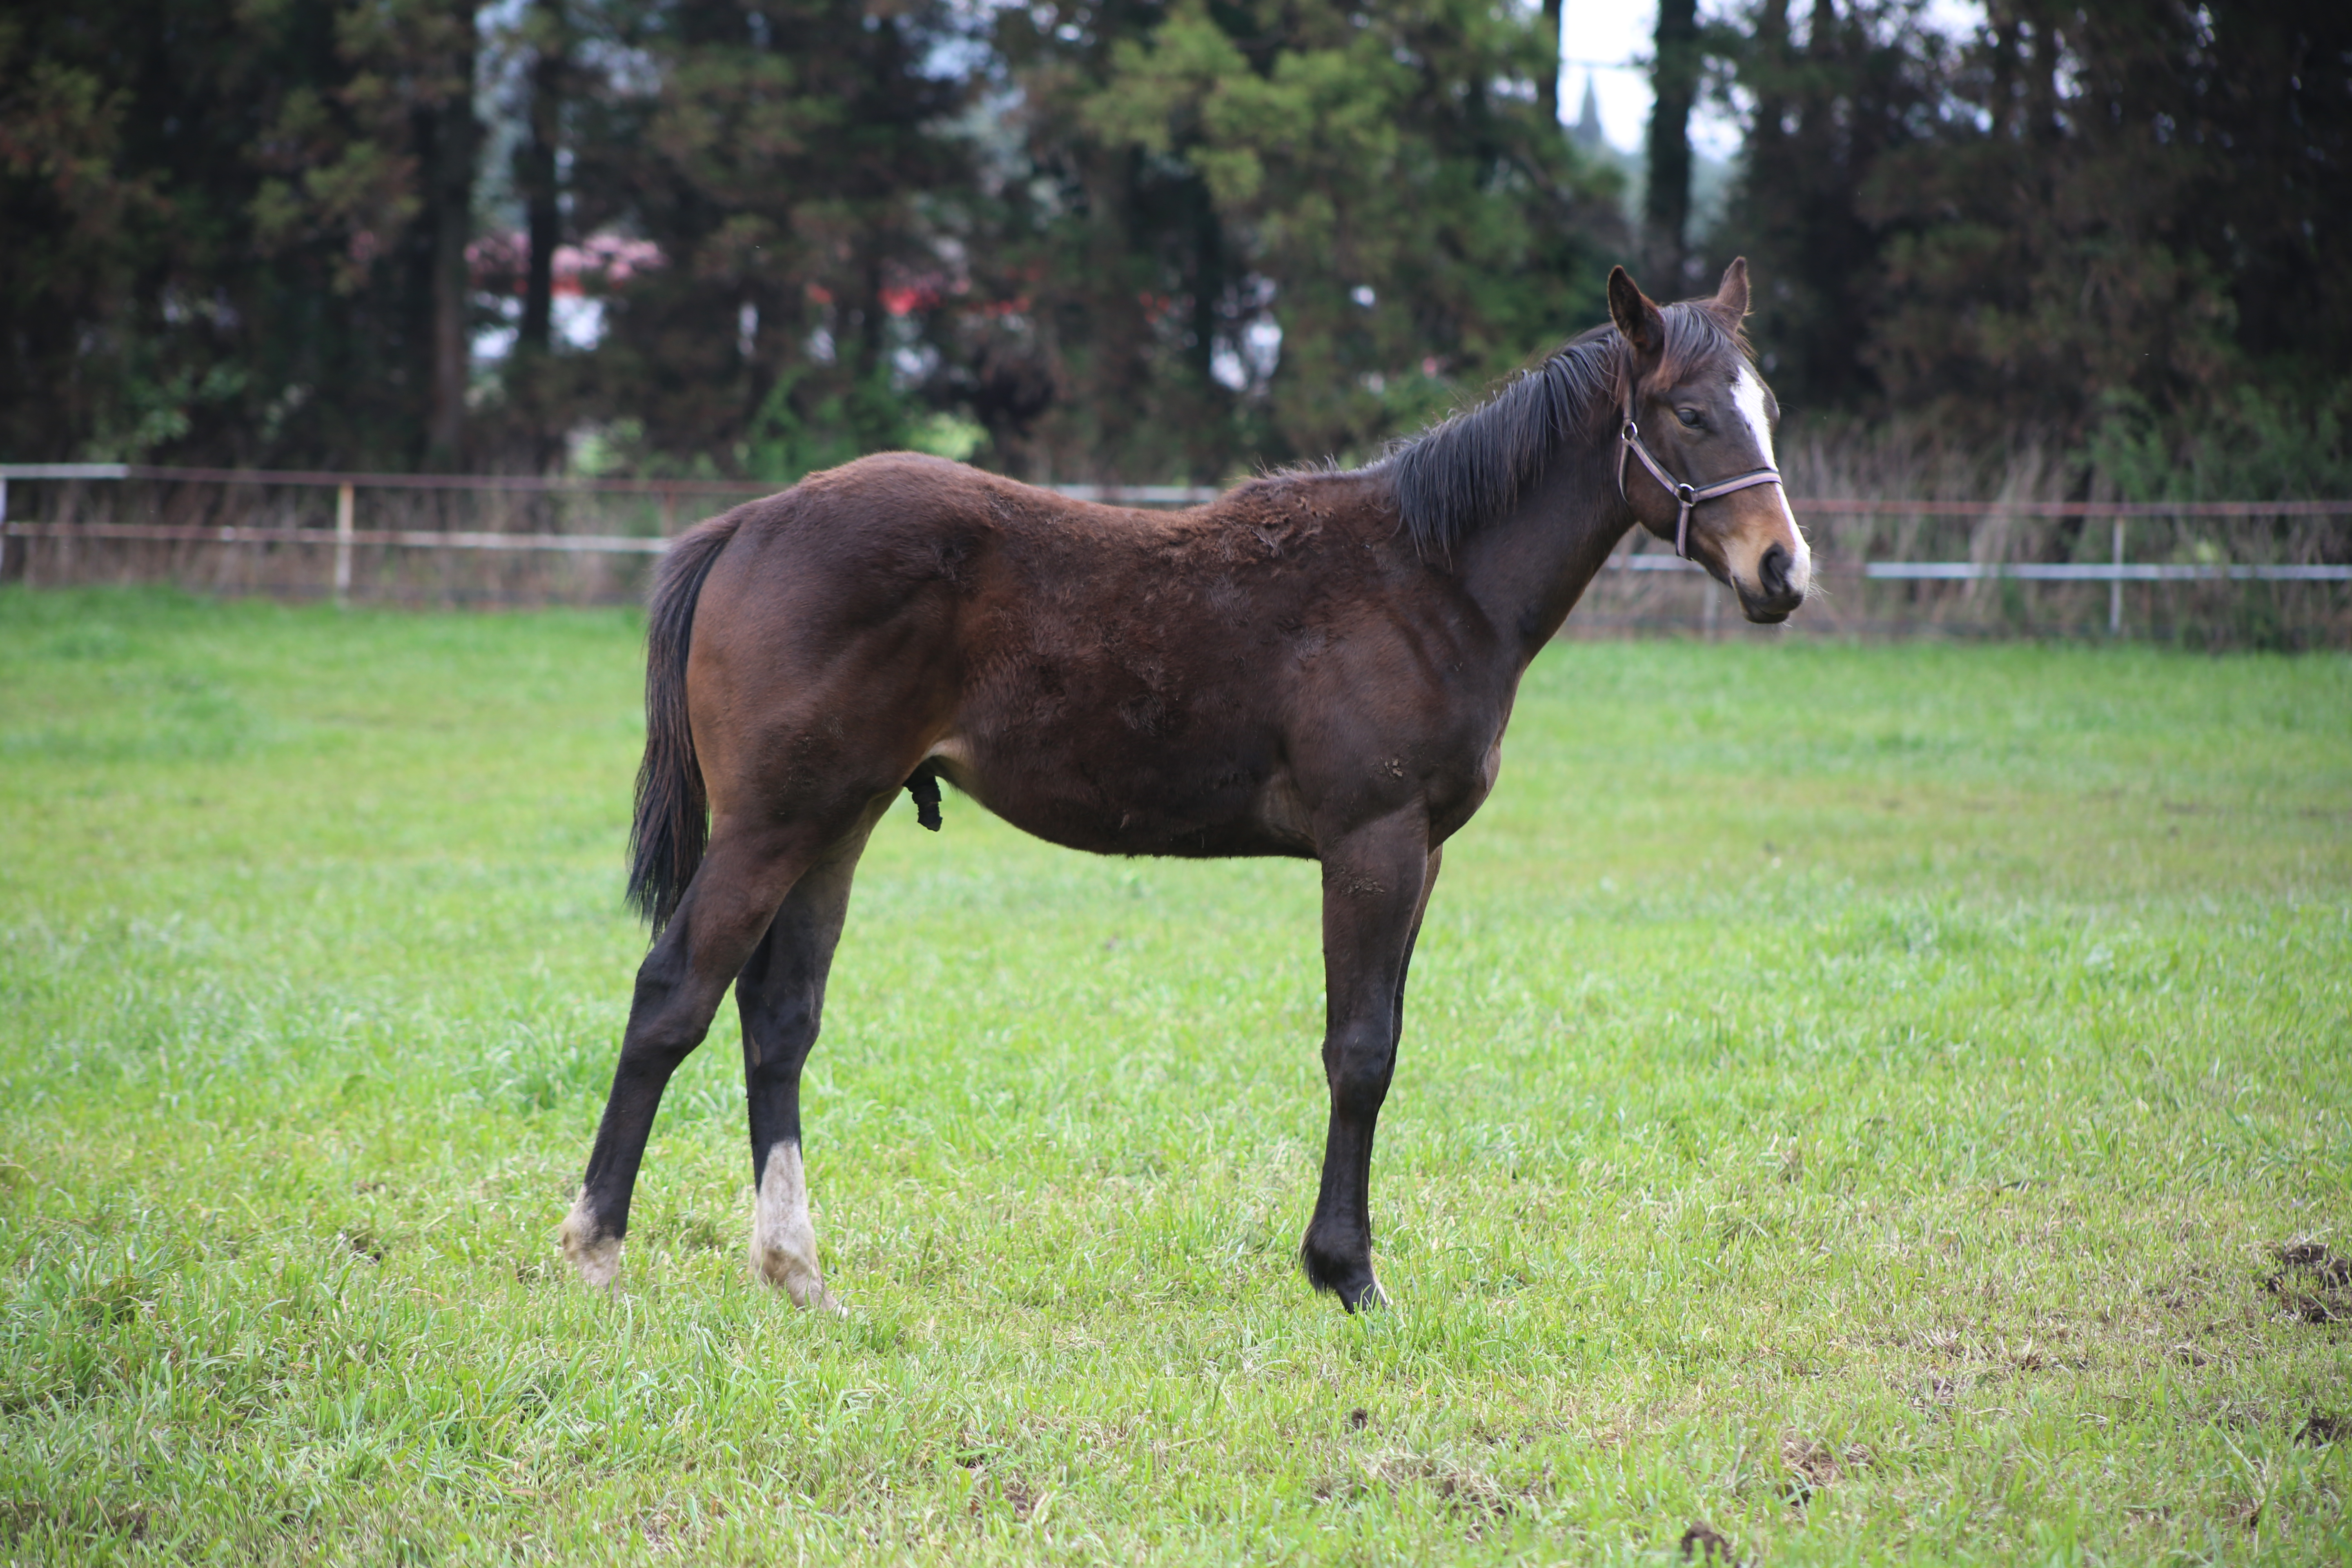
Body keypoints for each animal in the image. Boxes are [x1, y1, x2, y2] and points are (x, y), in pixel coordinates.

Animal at [559, 261, 1806, 1316]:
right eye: (1689, 413)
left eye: (1767, 407)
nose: (1782, 571)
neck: (1429, 579)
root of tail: (748, 525)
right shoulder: (1374, 844)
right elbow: (1360, 1052)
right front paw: (1348, 1274)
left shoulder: (1425, 852)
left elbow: (1384, 1039)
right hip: (773, 821)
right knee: (672, 993)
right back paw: (596, 1248)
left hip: (839, 819)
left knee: (777, 1020)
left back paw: (796, 1271)